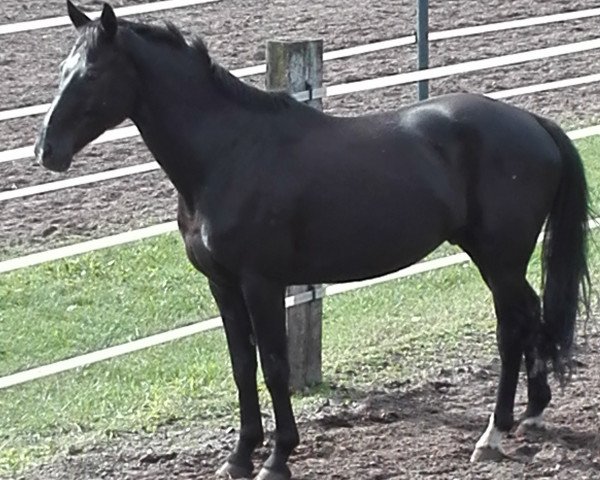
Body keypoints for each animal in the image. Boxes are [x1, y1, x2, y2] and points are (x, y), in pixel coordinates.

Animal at [37, 1, 592, 478]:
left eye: (91, 74)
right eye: (62, 69)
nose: (47, 151)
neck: (229, 153)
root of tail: (534, 122)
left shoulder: (262, 283)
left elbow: (275, 366)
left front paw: (277, 459)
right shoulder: (223, 285)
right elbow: (242, 366)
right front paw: (238, 457)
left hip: (499, 259)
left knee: (512, 329)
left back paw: (492, 435)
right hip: (500, 261)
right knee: (531, 317)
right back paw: (532, 413)